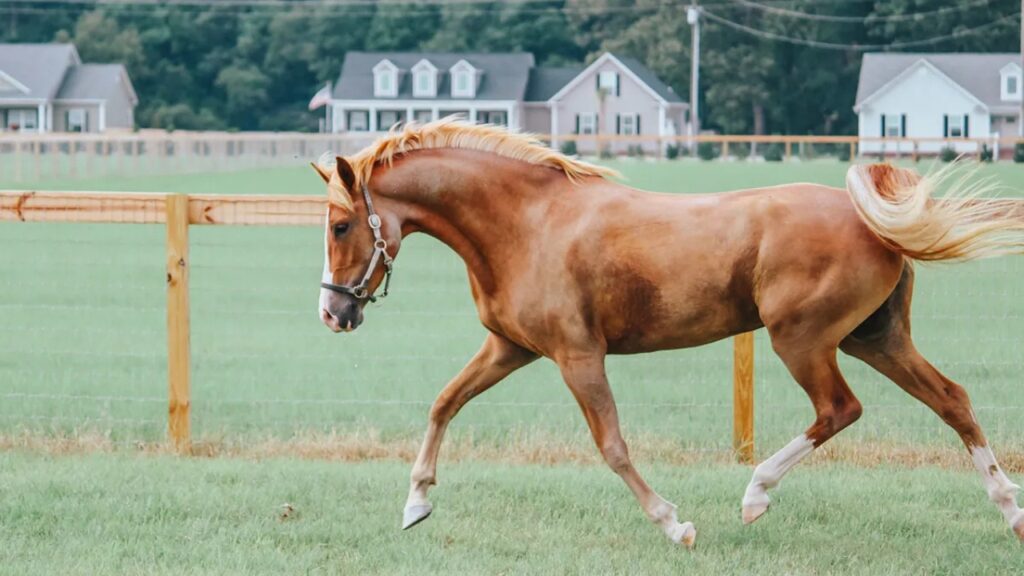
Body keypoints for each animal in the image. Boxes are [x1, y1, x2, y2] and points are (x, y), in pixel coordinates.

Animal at [311, 119, 1024, 547]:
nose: (333, 314)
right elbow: (443, 403)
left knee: (839, 409)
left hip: (804, 340)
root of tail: (870, 221)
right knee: (952, 400)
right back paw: (1010, 511)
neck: (528, 223)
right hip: (874, 339)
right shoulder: (509, 348)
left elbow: (612, 446)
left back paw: (755, 495)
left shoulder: (577, 356)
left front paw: (674, 525)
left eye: (341, 226)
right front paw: (415, 505)